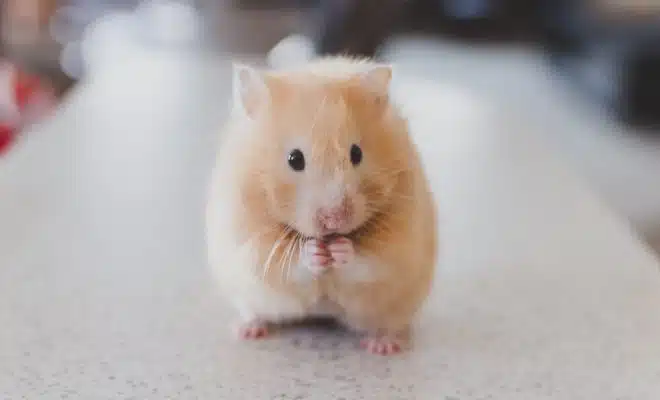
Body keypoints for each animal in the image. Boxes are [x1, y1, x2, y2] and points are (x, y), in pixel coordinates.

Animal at [204, 55, 436, 354]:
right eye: (294, 159)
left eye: (356, 153)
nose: (335, 219)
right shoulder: (250, 240)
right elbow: (286, 263)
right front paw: (315, 252)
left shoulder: (399, 242)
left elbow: (369, 260)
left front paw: (340, 249)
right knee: (253, 311)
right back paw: (248, 330)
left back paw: (382, 346)